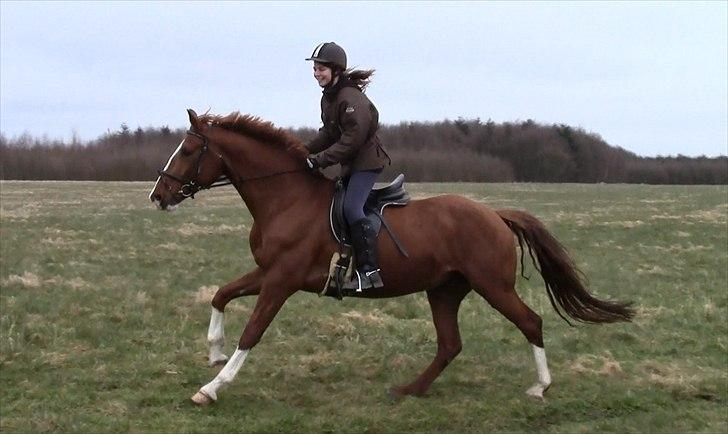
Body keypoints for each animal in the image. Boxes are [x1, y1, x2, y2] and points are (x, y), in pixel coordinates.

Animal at [148, 108, 632, 406]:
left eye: (188, 150)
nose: (158, 196)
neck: (286, 198)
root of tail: (494, 213)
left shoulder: (281, 281)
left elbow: (252, 332)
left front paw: (213, 387)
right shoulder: (268, 272)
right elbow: (221, 294)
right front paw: (214, 351)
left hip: (492, 285)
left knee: (531, 322)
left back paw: (540, 387)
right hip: (445, 291)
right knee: (450, 344)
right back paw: (409, 389)